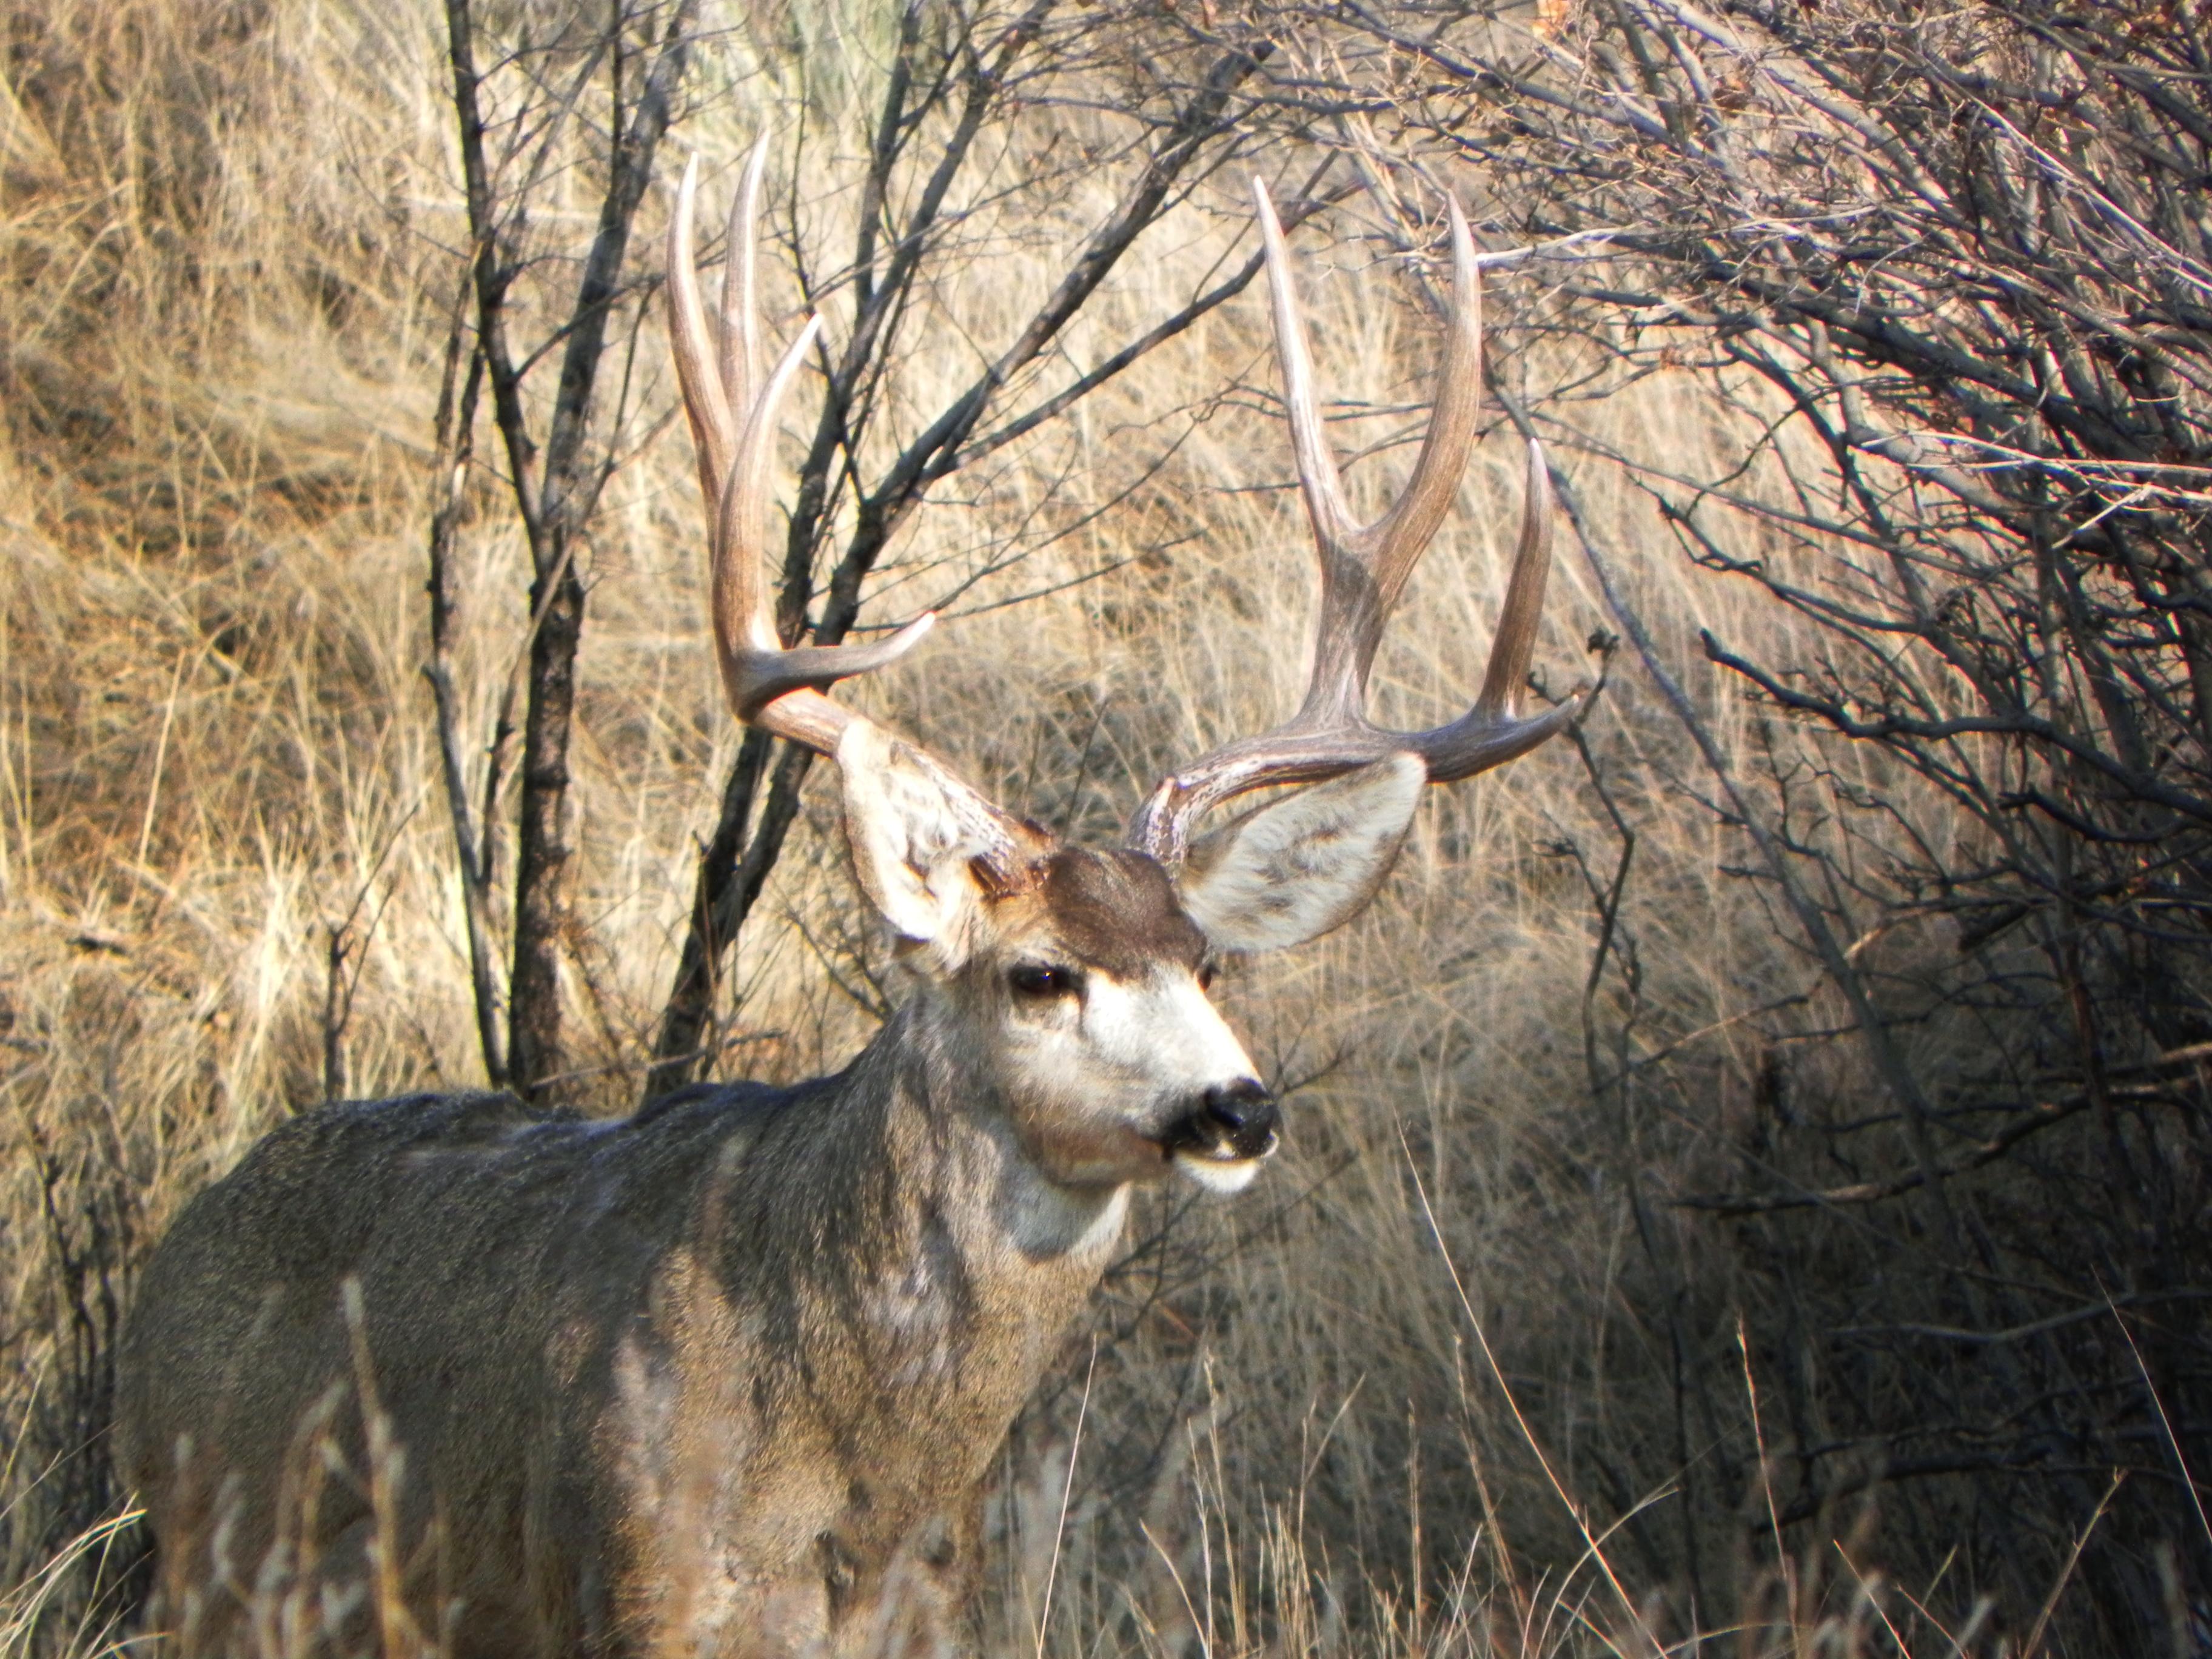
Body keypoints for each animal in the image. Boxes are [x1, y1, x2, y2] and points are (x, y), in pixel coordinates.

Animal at [116, 149, 1575, 1654]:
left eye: (1209, 963)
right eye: (1039, 973)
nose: (1238, 1108)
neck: (856, 1484)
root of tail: (178, 1245)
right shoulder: (632, 1589)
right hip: (223, 1571)